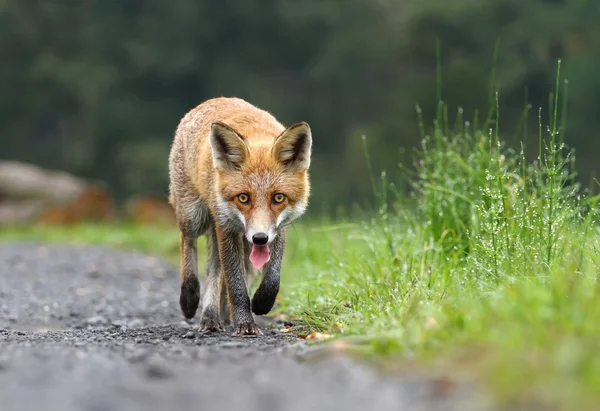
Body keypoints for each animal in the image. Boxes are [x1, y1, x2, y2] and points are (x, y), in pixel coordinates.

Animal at [166, 97, 312, 338]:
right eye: (243, 198)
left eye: (278, 197)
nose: (260, 238)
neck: (257, 135)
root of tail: (214, 99)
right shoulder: (226, 227)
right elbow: (236, 284)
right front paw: (245, 324)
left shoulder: (279, 228)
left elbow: (272, 277)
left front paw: (261, 303)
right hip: (194, 216)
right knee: (188, 242)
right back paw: (190, 298)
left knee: (216, 272)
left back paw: (213, 317)